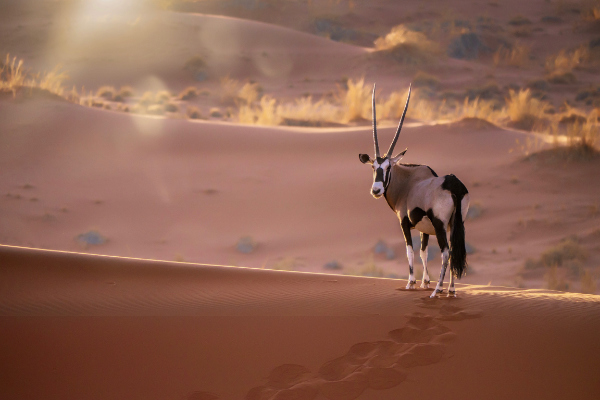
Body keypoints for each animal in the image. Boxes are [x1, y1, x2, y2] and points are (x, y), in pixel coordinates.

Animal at [360, 84, 468, 296]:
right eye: (373, 167)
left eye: (388, 167)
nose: (376, 190)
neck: (407, 182)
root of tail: (454, 184)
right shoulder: (424, 229)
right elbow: (423, 252)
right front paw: (425, 282)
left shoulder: (405, 222)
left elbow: (410, 250)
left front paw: (411, 282)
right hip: (456, 224)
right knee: (454, 250)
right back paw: (451, 290)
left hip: (441, 225)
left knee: (445, 252)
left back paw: (438, 291)